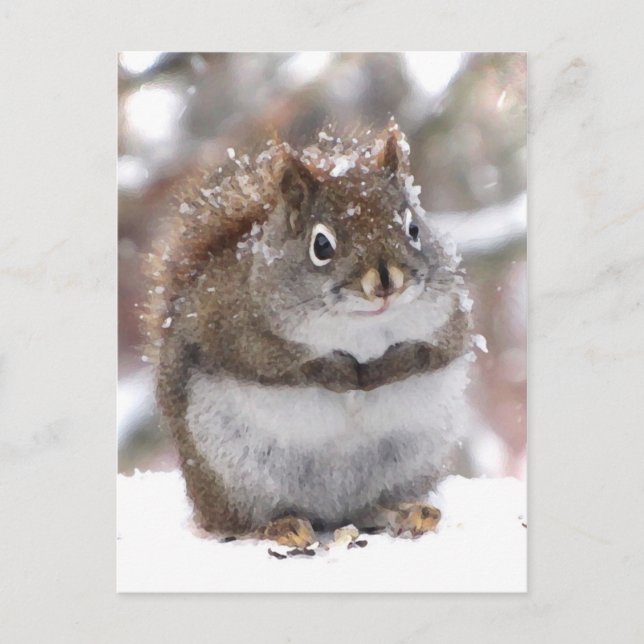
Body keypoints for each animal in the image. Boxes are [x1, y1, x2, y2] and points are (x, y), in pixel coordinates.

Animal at [144, 120, 473, 547]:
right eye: (321, 244)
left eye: (413, 228)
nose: (386, 282)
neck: (362, 326)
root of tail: (330, 512)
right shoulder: (234, 328)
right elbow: (279, 365)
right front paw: (340, 372)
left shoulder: (450, 321)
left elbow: (432, 353)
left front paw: (384, 368)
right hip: (231, 470)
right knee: (236, 521)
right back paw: (278, 525)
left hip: (411, 459)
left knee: (370, 506)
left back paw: (408, 511)